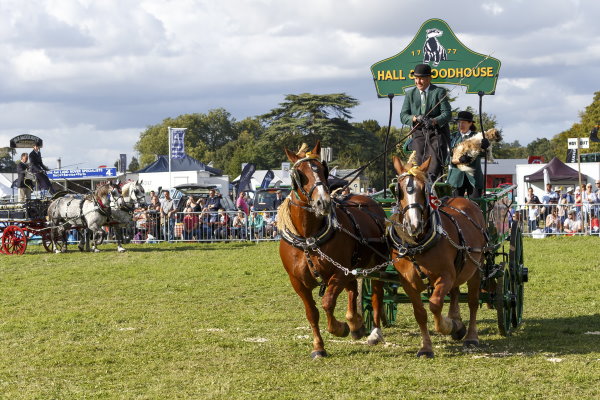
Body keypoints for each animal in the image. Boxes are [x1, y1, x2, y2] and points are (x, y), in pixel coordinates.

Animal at [280, 141, 390, 360]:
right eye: (300, 174)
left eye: (323, 170)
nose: (323, 202)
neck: (308, 237)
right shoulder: (297, 282)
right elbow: (312, 313)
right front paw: (318, 347)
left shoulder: (339, 272)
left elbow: (327, 302)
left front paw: (339, 328)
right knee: (353, 289)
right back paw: (356, 324)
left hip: (376, 266)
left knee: (376, 294)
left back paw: (373, 331)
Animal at [390, 155, 488, 356]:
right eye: (398, 190)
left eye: (424, 189)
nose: (414, 225)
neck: (416, 244)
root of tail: (463, 199)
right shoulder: (407, 283)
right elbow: (420, 313)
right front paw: (426, 347)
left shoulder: (445, 276)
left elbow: (435, 304)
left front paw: (449, 326)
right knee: (456, 293)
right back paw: (457, 320)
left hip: (476, 266)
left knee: (473, 301)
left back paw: (470, 336)